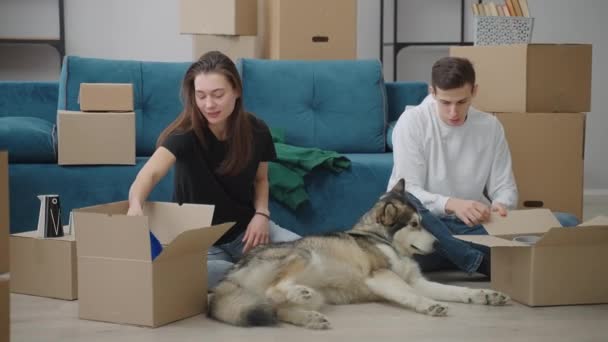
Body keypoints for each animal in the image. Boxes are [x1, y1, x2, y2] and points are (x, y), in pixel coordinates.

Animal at [209, 179, 508, 328]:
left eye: (422, 223)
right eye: (414, 225)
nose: (437, 244)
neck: (382, 239)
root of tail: (230, 274)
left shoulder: (417, 281)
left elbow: (456, 290)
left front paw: (485, 295)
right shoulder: (382, 277)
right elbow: (411, 295)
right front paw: (428, 305)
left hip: (313, 296)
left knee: (274, 308)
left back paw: (309, 318)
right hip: (303, 255)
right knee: (275, 291)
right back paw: (298, 295)